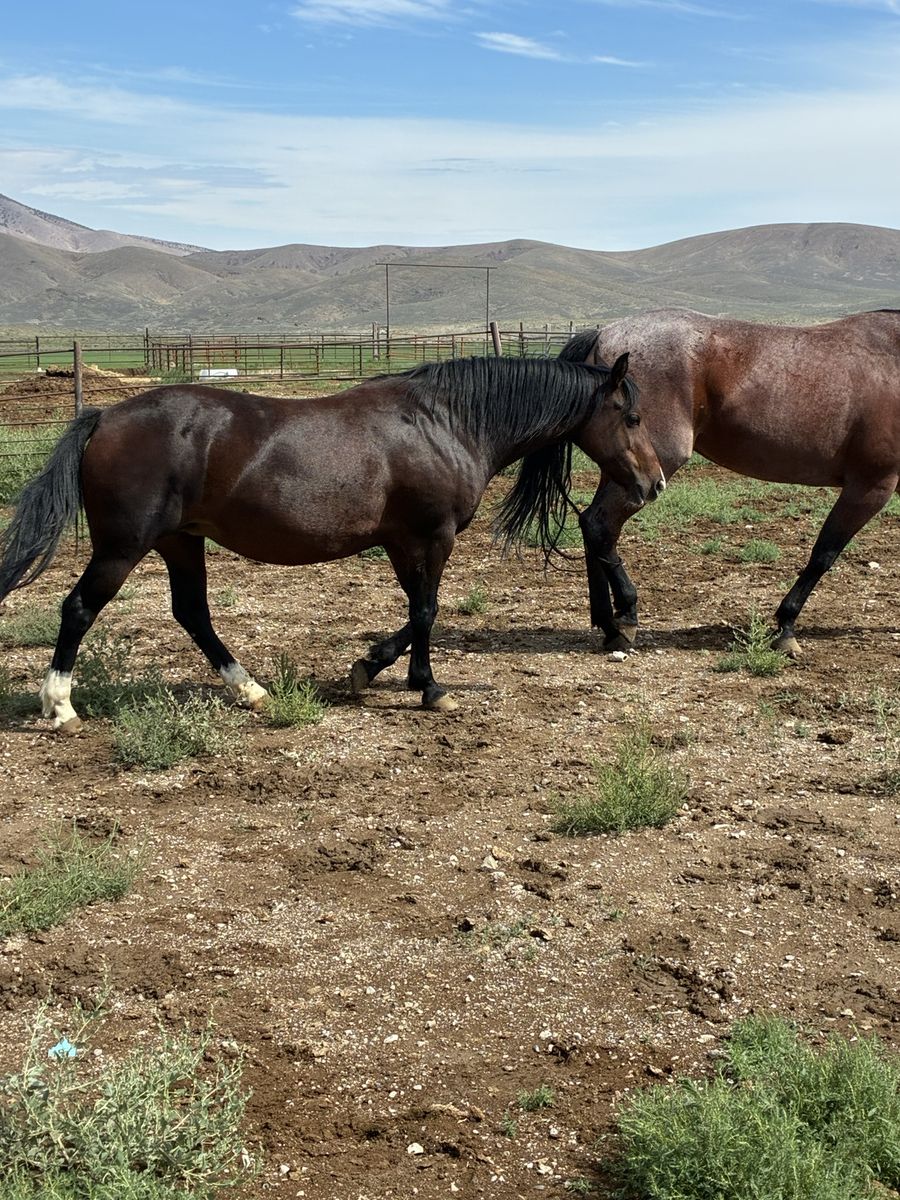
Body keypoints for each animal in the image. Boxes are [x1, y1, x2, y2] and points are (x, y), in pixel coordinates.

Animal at [0, 354, 664, 732]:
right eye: (631, 417)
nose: (654, 483)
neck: (446, 423)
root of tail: (105, 417)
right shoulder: (433, 536)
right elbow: (428, 610)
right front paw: (429, 690)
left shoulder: (400, 541)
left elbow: (413, 613)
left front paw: (374, 669)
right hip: (124, 546)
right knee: (79, 609)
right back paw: (59, 707)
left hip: (180, 542)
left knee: (192, 613)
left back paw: (250, 690)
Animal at [559, 308, 900, 656]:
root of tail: (605, 333)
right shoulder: (870, 486)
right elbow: (823, 554)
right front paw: (786, 627)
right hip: (646, 472)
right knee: (600, 525)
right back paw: (625, 619)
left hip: (621, 469)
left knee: (593, 525)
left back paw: (608, 622)